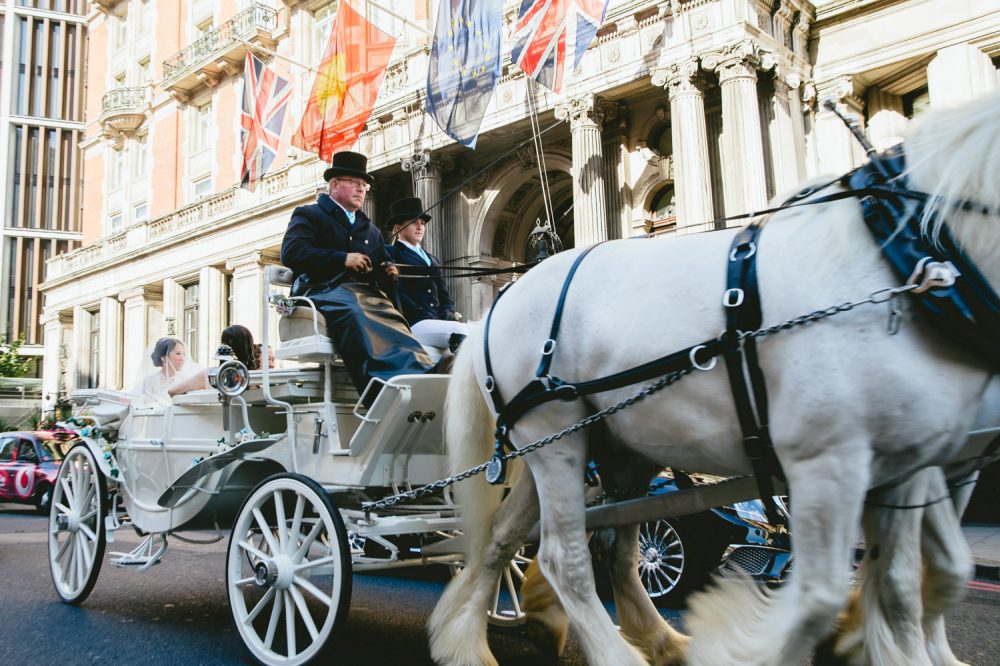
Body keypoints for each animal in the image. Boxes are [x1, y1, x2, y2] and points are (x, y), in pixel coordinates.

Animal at [430, 94, 1000, 664]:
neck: (898, 252)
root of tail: (498, 304)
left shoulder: (909, 463)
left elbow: (911, 579)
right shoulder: (829, 460)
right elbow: (818, 598)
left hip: (602, 445)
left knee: (530, 541)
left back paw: (485, 643)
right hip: (555, 440)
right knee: (561, 557)